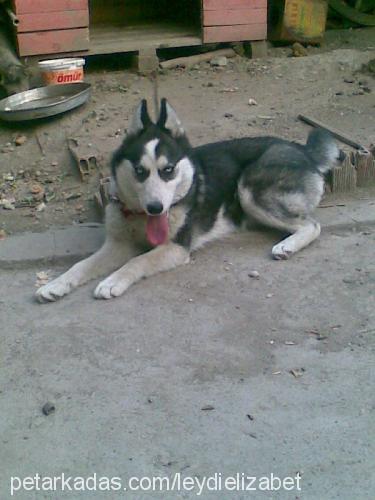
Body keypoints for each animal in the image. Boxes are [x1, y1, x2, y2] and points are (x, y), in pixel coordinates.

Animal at [36, 98, 340, 300]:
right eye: (140, 171)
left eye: (168, 170)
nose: (155, 207)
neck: (140, 218)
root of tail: (302, 150)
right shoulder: (118, 244)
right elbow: (82, 264)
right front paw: (56, 283)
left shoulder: (175, 248)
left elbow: (137, 261)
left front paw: (113, 281)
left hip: (249, 190)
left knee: (312, 225)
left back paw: (288, 245)